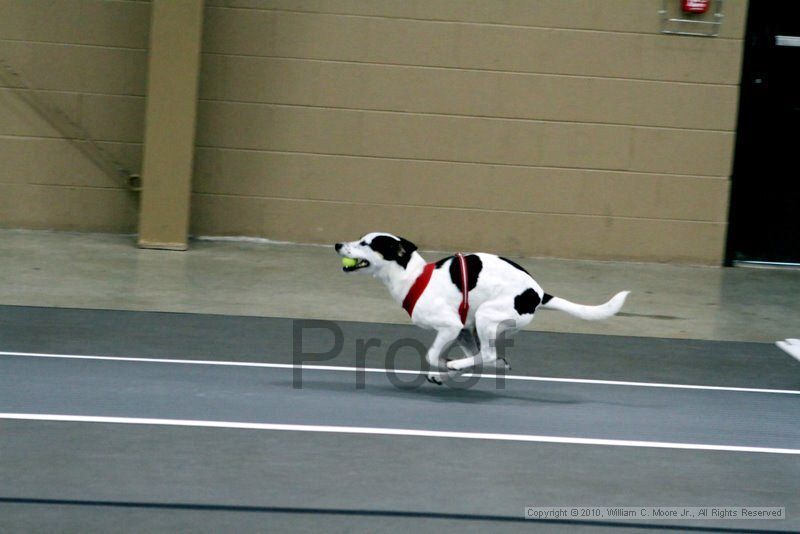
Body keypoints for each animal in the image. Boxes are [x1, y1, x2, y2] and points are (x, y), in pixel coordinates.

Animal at [334, 233, 628, 386]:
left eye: (366, 243)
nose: (337, 245)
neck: (413, 277)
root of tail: (538, 293)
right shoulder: (461, 330)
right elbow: (442, 355)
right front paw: (443, 368)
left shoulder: (450, 326)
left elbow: (432, 354)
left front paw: (441, 366)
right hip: (475, 325)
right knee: (484, 356)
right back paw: (462, 367)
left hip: (486, 316)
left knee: (486, 354)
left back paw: (457, 365)